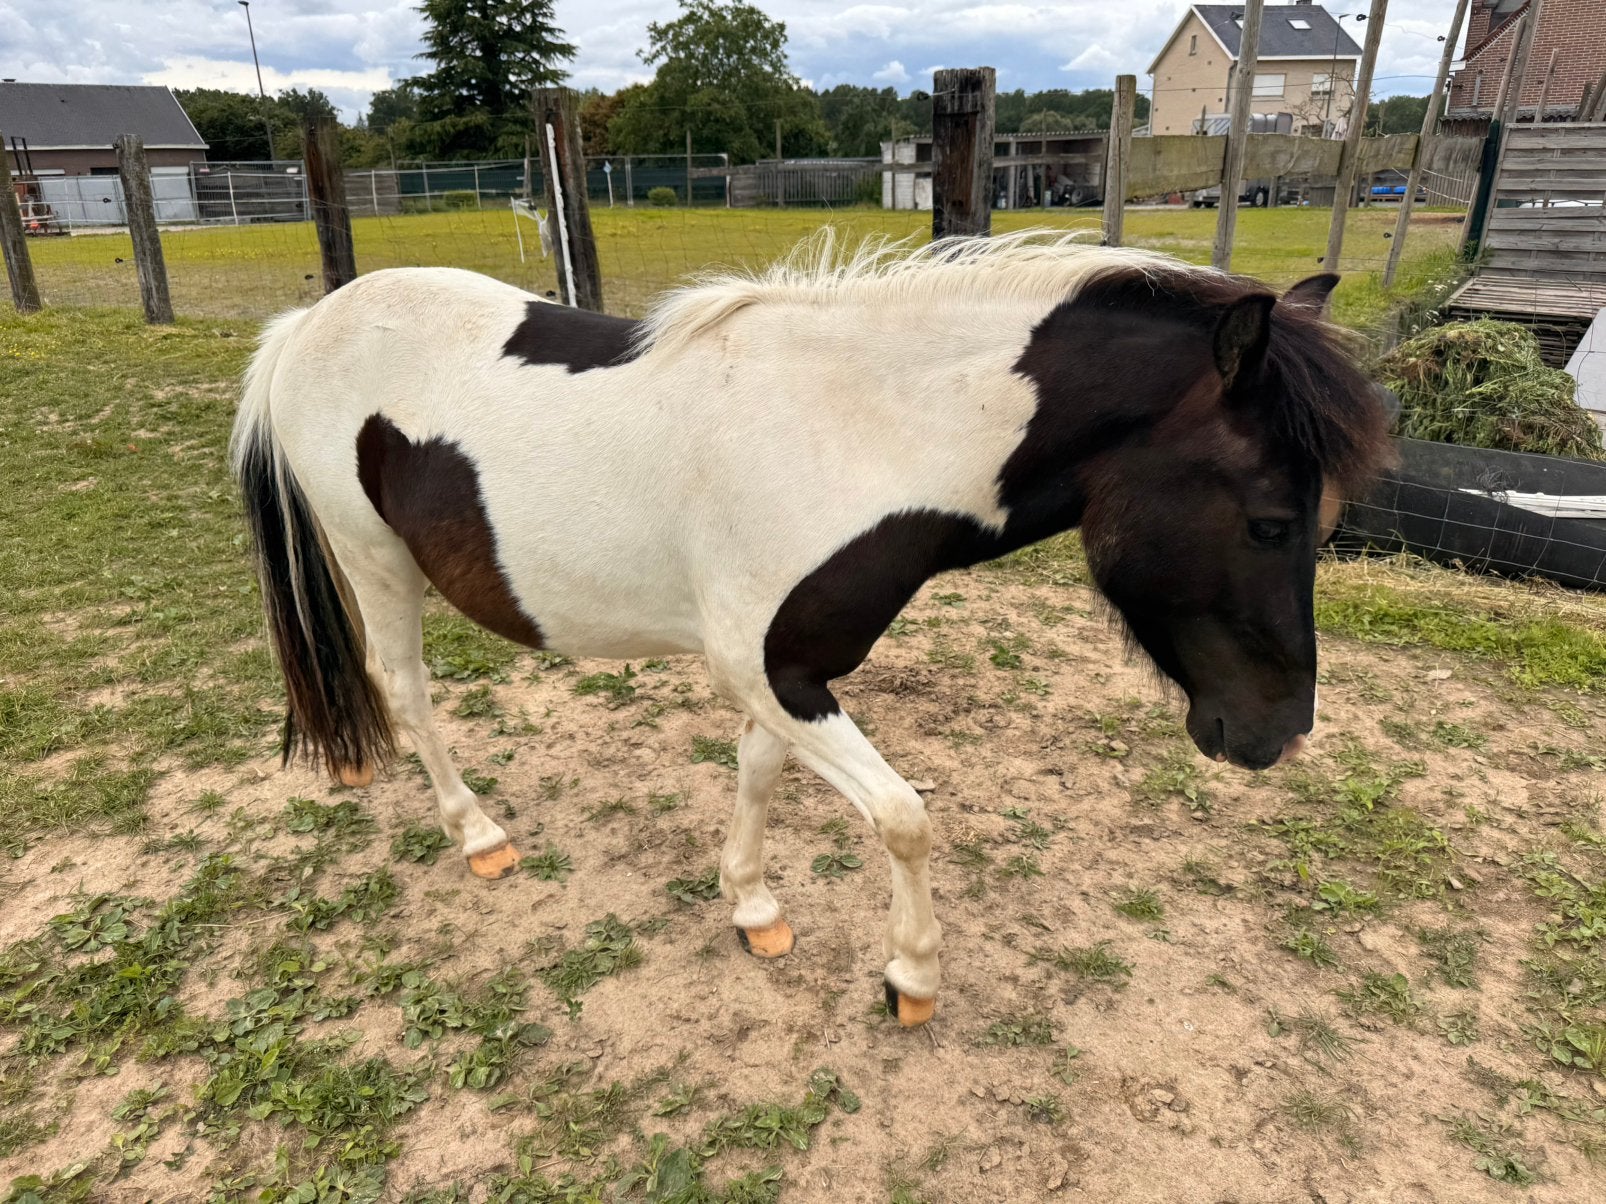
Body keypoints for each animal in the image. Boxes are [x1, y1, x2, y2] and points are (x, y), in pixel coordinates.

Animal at [231, 230, 1388, 1027]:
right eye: (1270, 519)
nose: (1278, 733)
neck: (859, 435)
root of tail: (310, 325)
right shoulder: (768, 670)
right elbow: (905, 818)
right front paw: (912, 975)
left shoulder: (785, 670)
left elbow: (758, 773)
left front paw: (752, 906)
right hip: (374, 560)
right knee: (404, 687)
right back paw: (477, 835)